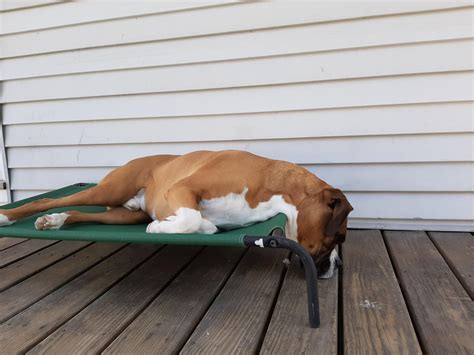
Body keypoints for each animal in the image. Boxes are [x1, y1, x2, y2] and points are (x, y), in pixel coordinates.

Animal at [0, 150, 352, 278]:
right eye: (337, 236)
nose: (337, 266)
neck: (274, 188)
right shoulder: (184, 187)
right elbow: (194, 217)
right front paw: (160, 228)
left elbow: (204, 225)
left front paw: (169, 224)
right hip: (106, 191)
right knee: (50, 200)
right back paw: (12, 216)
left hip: (122, 216)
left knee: (77, 211)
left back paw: (56, 221)